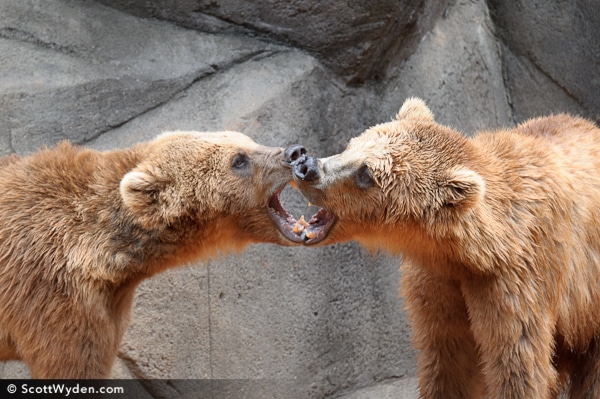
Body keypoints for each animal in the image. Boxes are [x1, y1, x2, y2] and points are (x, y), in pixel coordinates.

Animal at [0, 132, 298, 382]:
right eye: (239, 160)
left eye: (249, 139)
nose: (294, 152)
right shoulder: (51, 297)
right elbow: (72, 365)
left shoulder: (111, 305)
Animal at [284, 97, 600, 399]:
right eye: (352, 144)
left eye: (367, 173)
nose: (306, 166)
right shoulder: (438, 283)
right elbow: (449, 361)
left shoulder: (516, 282)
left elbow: (518, 364)